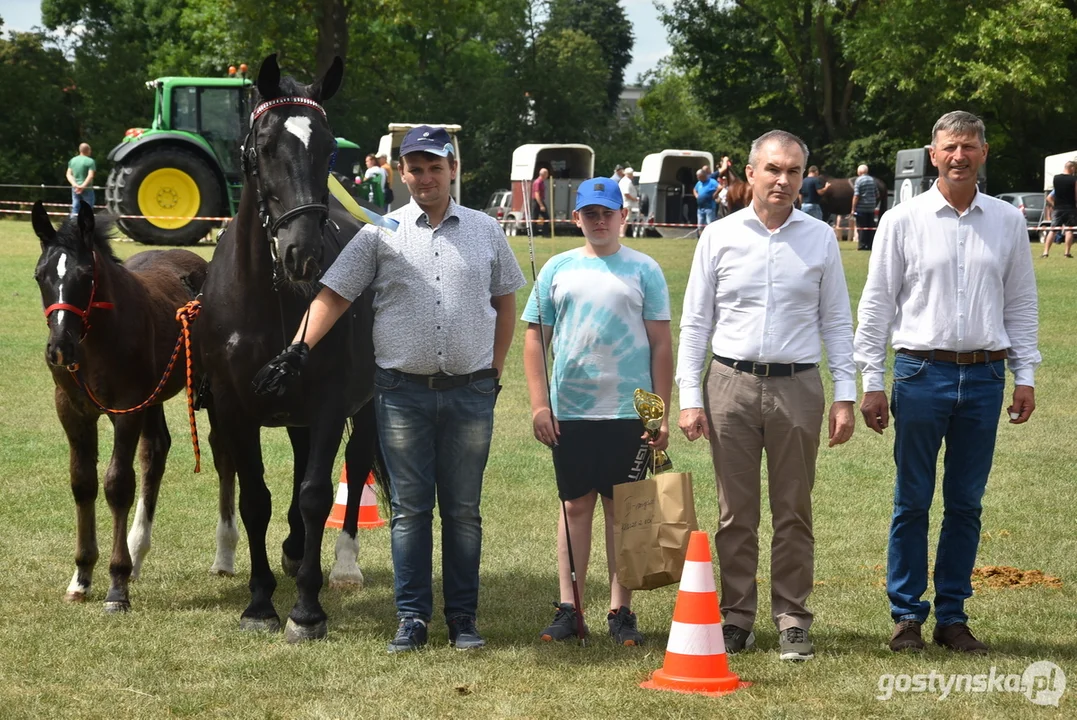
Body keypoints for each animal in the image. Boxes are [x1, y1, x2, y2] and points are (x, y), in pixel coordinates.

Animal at [198, 54, 383, 641]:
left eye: (329, 148)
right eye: (263, 147)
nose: (302, 252)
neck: (270, 296)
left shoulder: (329, 405)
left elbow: (316, 495)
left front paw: (306, 609)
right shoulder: (235, 409)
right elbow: (256, 499)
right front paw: (260, 603)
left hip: (365, 404)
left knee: (356, 463)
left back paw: (342, 565)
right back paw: (295, 550)